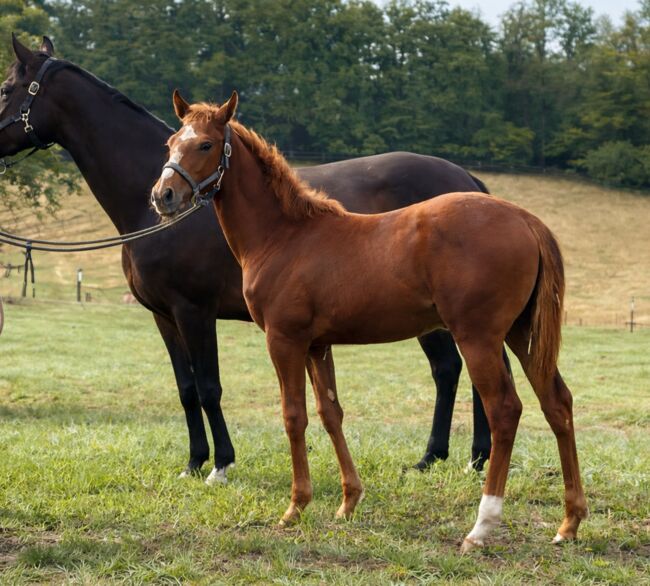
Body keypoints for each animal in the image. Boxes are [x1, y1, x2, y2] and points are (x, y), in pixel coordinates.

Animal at [0, 35, 506, 481]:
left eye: (6, 89)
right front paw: (193, 462)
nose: (164, 196)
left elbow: (209, 387)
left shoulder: (194, 311)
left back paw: (466, 458)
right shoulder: (164, 316)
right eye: (170, 146)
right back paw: (448, 457)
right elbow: (186, 390)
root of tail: (469, 182)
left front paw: (221, 464)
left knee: (463, 368)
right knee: (453, 368)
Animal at [151, 93, 587, 552]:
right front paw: (348, 501)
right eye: (171, 142)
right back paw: (569, 522)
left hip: (479, 337)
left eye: (205, 144)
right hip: (523, 334)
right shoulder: (317, 345)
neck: (285, 236)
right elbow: (330, 413)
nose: (163, 195)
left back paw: (482, 526)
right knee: (557, 403)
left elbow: (294, 416)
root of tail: (527, 220)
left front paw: (295, 507)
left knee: (505, 408)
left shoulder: (284, 340)